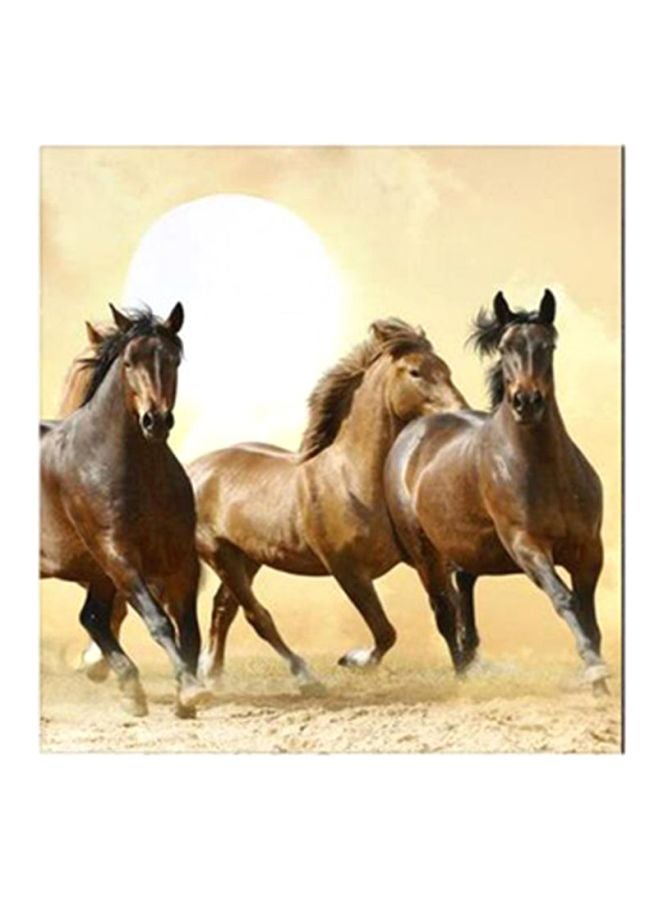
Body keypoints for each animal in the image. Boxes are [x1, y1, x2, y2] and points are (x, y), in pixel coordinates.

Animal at [40, 303, 211, 716]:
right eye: (130, 362)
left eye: (173, 360)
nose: (156, 421)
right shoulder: (117, 554)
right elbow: (158, 621)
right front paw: (190, 689)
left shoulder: (179, 560)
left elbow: (189, 629)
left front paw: (186, 694)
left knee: (92, 617)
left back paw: (130, 687)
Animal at [186, 318, 468, 692]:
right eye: (415, 371)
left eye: (446, 369)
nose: (460, 412)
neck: (353, 479)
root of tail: (192, 470)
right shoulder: (346, 569)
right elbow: (385, 632)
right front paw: (352, 660)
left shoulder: (425, 558)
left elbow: (447, 614)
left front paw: (465, 674)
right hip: (221, 555)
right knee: (256, 615)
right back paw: (304, 676)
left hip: (248, 557)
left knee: (223, 610)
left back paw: (213, 676)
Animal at [384, 290, 609, 694]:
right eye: (505, 348)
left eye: (548, 345)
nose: (526, 402)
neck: (546, 470)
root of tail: (413, 433)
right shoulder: (526, 545)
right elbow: (565, 600)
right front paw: (595, 670)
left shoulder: (589, 550)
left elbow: (589, 617)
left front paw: (601, 685)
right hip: (426, 554)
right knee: (444, 612)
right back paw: (462, 678)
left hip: (466, 548)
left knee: (464, 591)